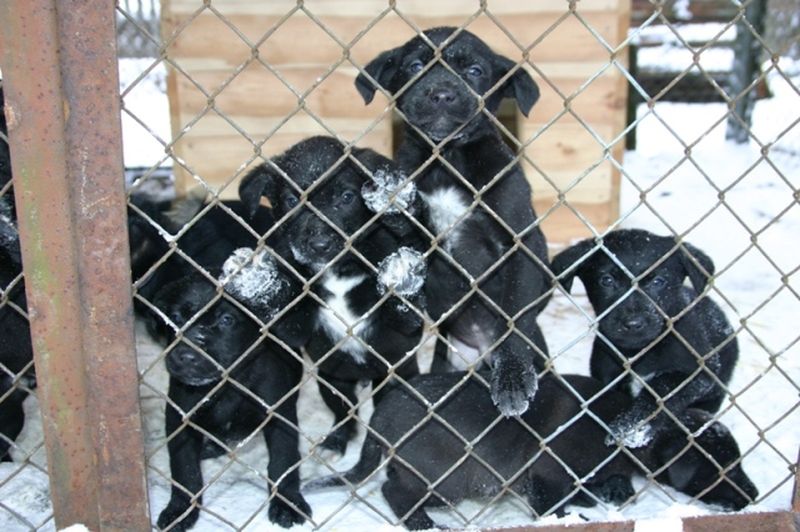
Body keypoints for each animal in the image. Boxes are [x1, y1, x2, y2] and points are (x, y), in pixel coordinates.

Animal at [155, 249, 311, 531]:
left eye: (227, 320)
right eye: (177, 318)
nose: (186, 356)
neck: (226, 386)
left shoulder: (279, 415)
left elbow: (283, 460)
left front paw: (286, 503)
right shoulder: (180, 419)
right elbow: (184, 469)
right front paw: (180, 510)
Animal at [239, 136, 428, 455]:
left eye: (348, 197)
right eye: (292, 201)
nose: (319, 245)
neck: (339, 270)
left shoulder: (407, 328)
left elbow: (404, 306)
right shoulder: (297, 330)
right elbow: (285, 313)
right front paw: (261, 286)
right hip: (331, 380)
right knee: (345, 408)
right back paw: (338, 438)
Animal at [304, 372, 758, 529]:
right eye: (719, 468)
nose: (753, 496)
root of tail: (382, 415)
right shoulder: (546, 476)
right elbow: (553, 506)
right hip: (444, 480)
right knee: (394, 492)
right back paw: (423, 525)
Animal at [355, 27, 551, 416]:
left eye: (474, 71)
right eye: (415, 66)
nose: (442, 94)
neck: (447, 159)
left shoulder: (521, 243)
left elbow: (515, 313)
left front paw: (513, 378)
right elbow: (411, 226)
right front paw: (395, 197)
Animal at [551, 229, 738, 447]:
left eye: (658, 282)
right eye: (606, 280)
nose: (633, 324)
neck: (639, 352)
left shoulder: (700, 371)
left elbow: (661, 388)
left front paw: (631, 427)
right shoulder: (606, 374)